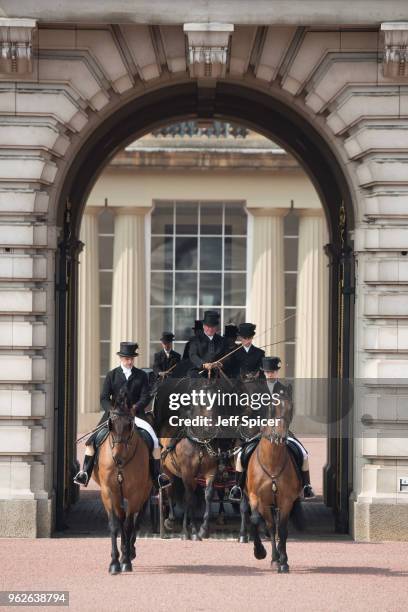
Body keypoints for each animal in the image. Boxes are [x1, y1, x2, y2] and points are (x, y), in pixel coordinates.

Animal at [93, 388, 152, 572]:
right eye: (111, 424)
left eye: (129, 424)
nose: (118, 457)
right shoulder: (108, 491)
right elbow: (115, 524)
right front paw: (114, 562)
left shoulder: (135, 493)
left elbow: (128, 524)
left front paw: (125, 560)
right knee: (121, 517)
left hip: (145, 492)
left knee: (136, 520)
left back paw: (130, 551)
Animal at [245, 388, 302, 572]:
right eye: (271, 409)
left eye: (291, 409)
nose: (281, 437)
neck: (272, 463)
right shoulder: (258, 498)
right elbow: (257, 521)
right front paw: (260, 552)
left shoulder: (286, 500)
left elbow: (282, 530)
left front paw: (283, 561)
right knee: (269, 526)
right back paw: (272, 557)